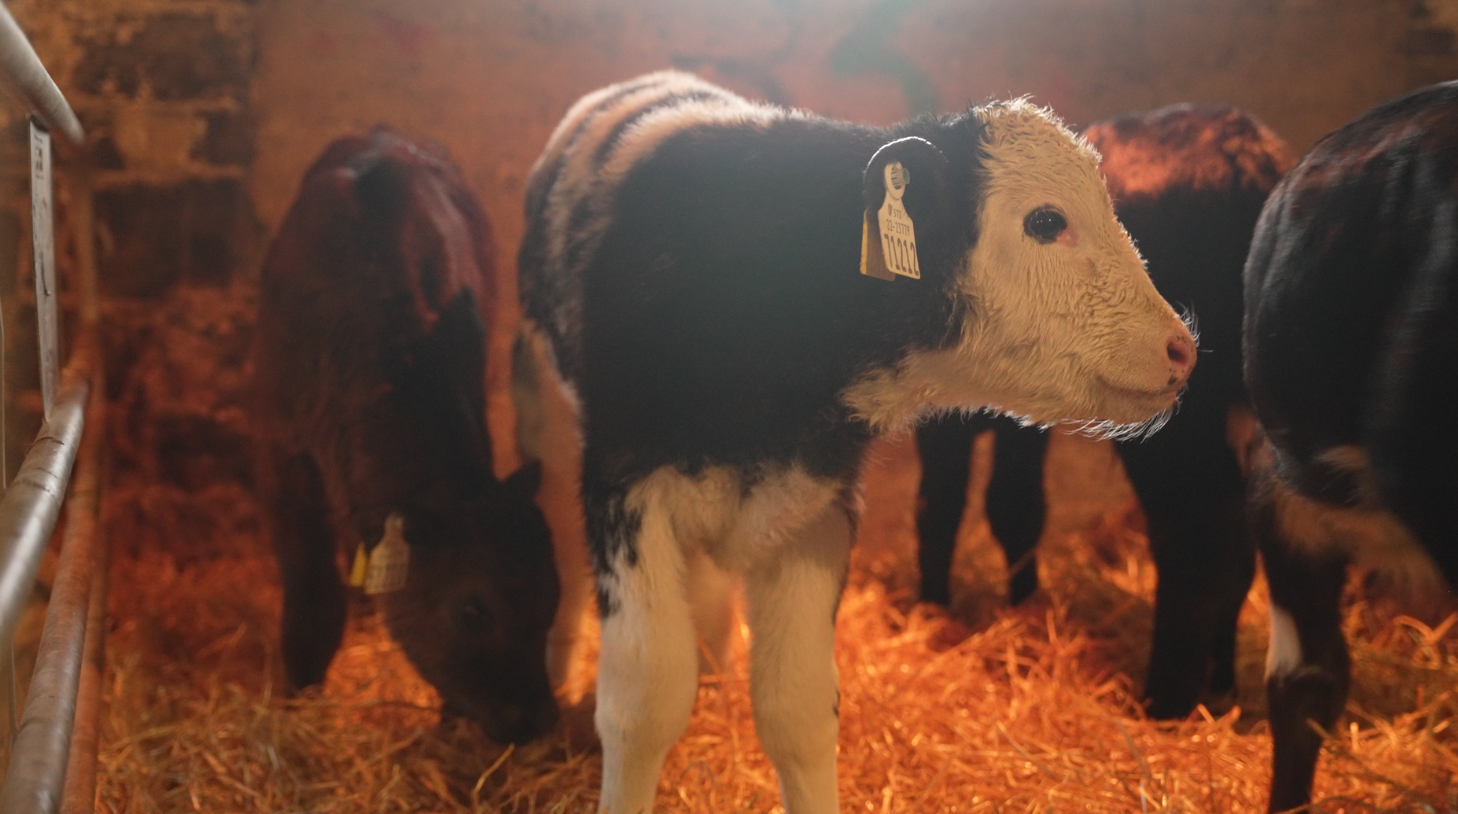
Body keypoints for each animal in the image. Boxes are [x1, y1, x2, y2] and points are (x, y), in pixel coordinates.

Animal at [252, 129, 560, 745]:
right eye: (474, 611)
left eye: (553, 600)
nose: (534, 719)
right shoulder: (284, 453)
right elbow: (311, 600)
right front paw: (297, 705)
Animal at [512, 71, 1196, 814]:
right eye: (1046, 221)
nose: (1182, 348)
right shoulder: (625, 485)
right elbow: (643, 701)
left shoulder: (817, 506)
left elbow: (798, 709)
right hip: (548, 413)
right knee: (560, 534)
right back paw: (557, 660)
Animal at [915, 105, 1293, 719]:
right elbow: (1015, 505)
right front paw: (1023, 610)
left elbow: (939, 502)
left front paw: (930, 611)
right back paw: (1221, 687)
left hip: (1178, 421)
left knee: (1201, 535)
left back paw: (1164, 701)